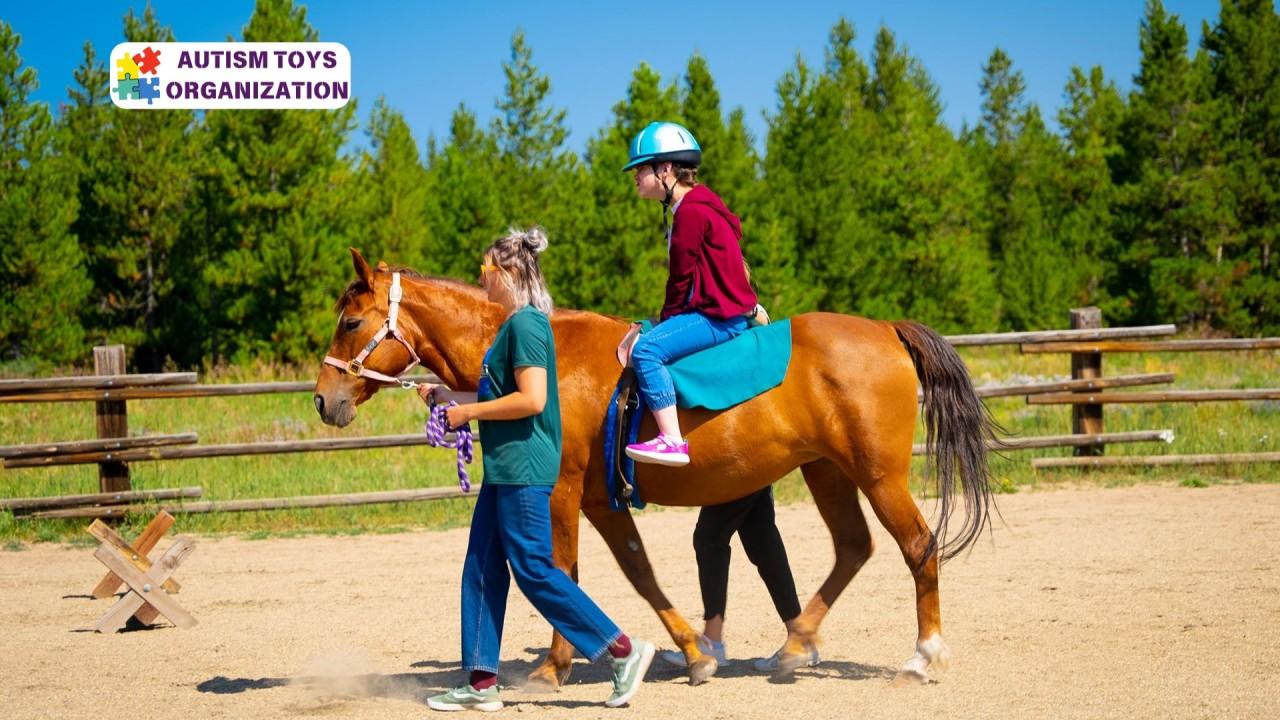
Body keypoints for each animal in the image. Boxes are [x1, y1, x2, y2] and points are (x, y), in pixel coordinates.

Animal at [314, 251, 993, 681]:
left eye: (351, 320)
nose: (324, 399)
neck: (539, 359)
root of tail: (886, 329)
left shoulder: (561, 494)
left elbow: (562, 572)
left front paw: (553, 669)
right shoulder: (599, 502)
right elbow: (638, 573)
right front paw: (694, 653)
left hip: (878, 476)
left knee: (918, 546)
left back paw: (923, 656)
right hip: (827, 471)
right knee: (853, 547)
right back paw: (793, 645)